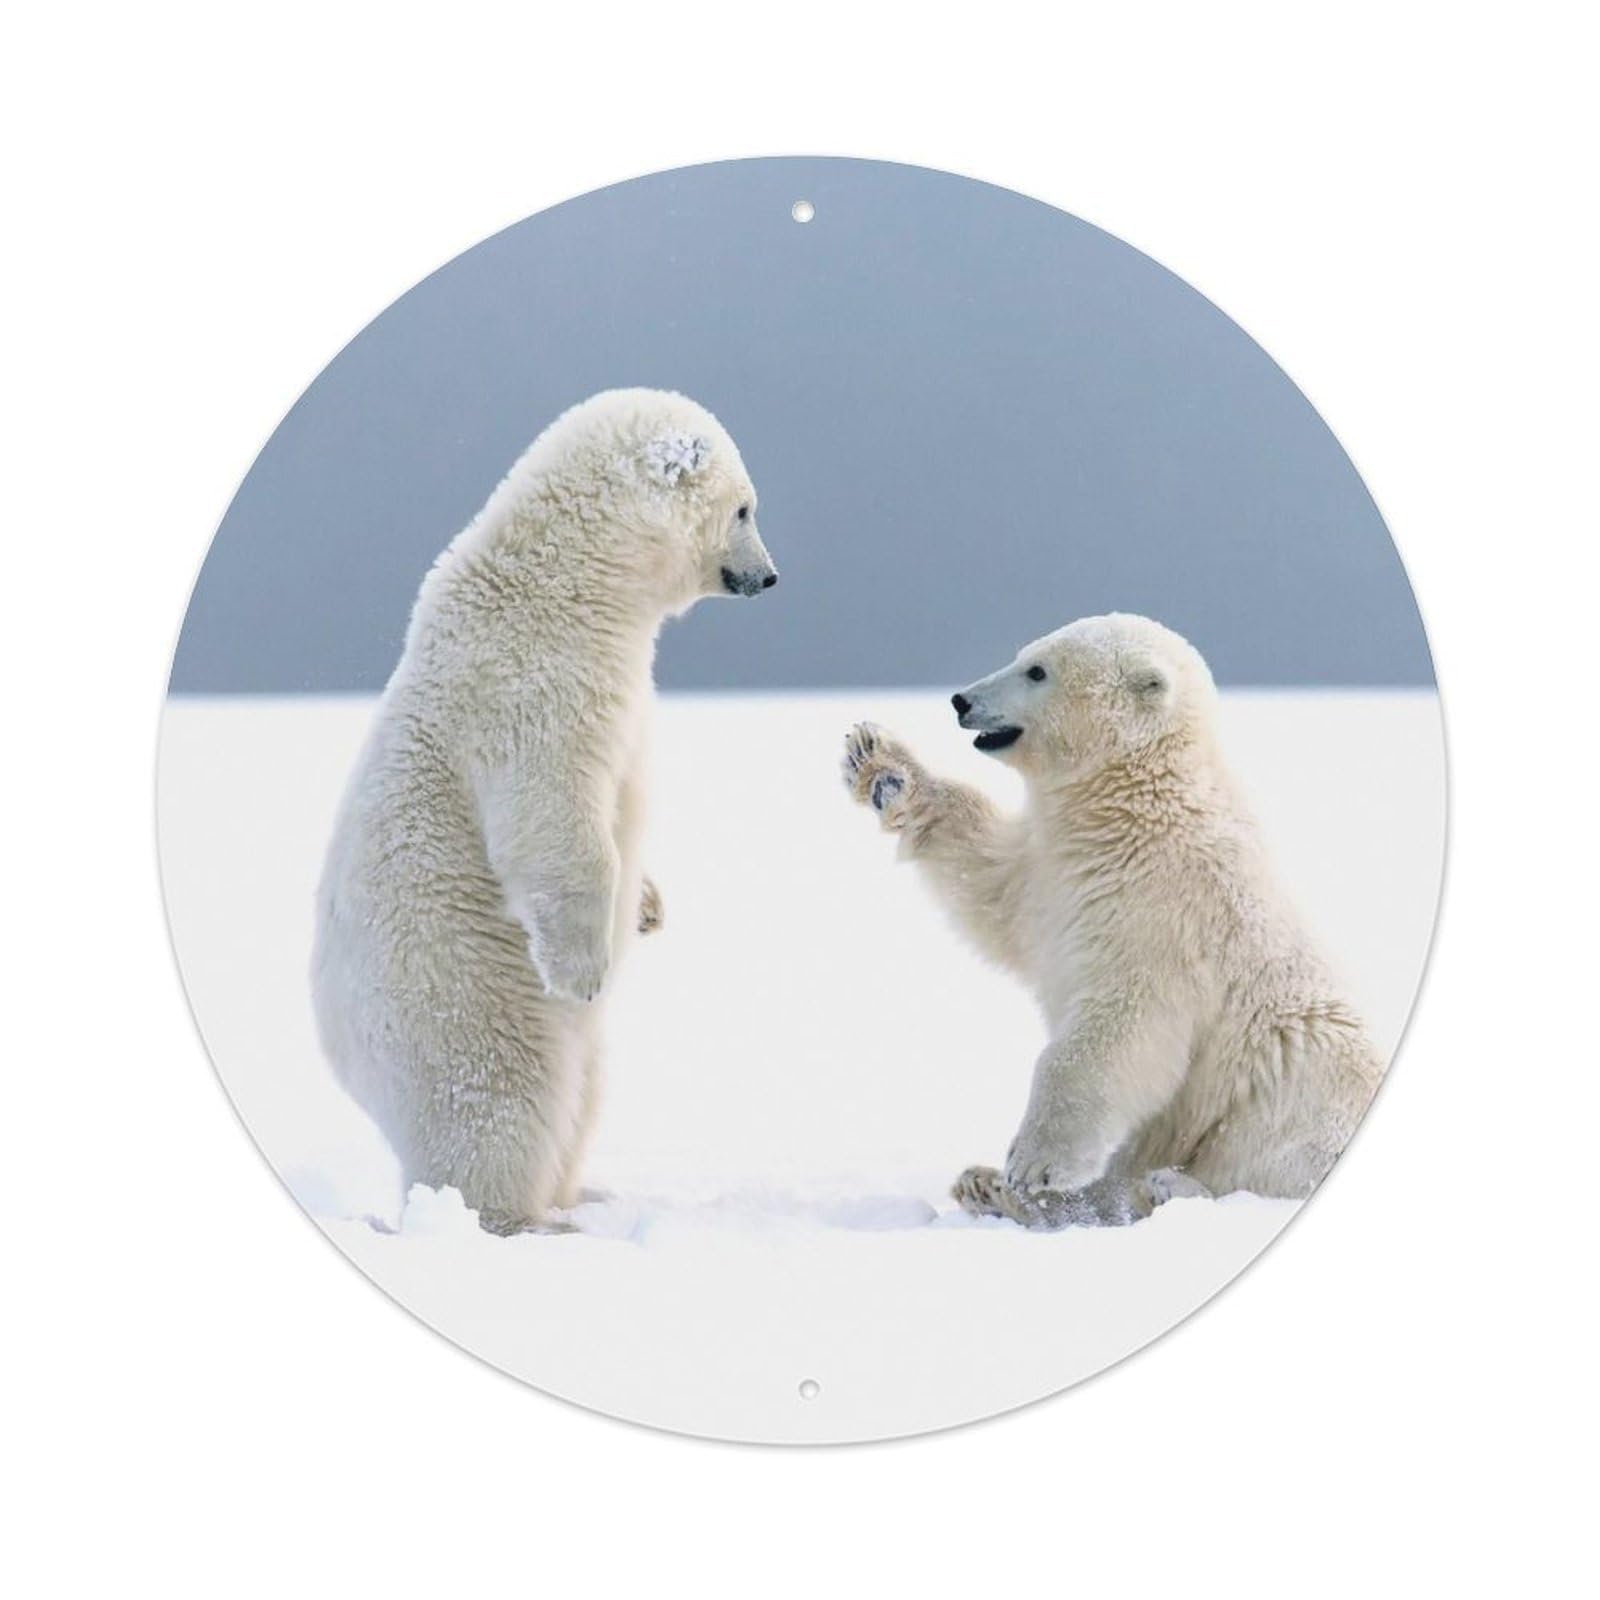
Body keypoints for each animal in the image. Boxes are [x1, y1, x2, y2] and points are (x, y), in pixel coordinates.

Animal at [312, 388, 776, 1234]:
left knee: (583, 1097)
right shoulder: (533, 682)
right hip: (455, 999)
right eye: (743, 508)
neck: (565, 579)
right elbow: (553, 818)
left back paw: (583, 1194)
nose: (769, 575)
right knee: (501, 1103)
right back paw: (524, 1218)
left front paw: (649, 905)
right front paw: (586, 968)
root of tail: (344, 1058)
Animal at [842, 612, 1384, 1228]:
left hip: (1289, 1104)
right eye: (1023, 655)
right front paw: (879, 762)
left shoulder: (1163, 910)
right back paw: (986, 1185)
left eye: (1037, 671)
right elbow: (989, 884)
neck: (1137, 804)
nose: (962, 700)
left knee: (1260, 1162)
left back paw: (1165, 1187)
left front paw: (1034, 1163)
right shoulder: (1054, 870)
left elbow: (1119, 1029)